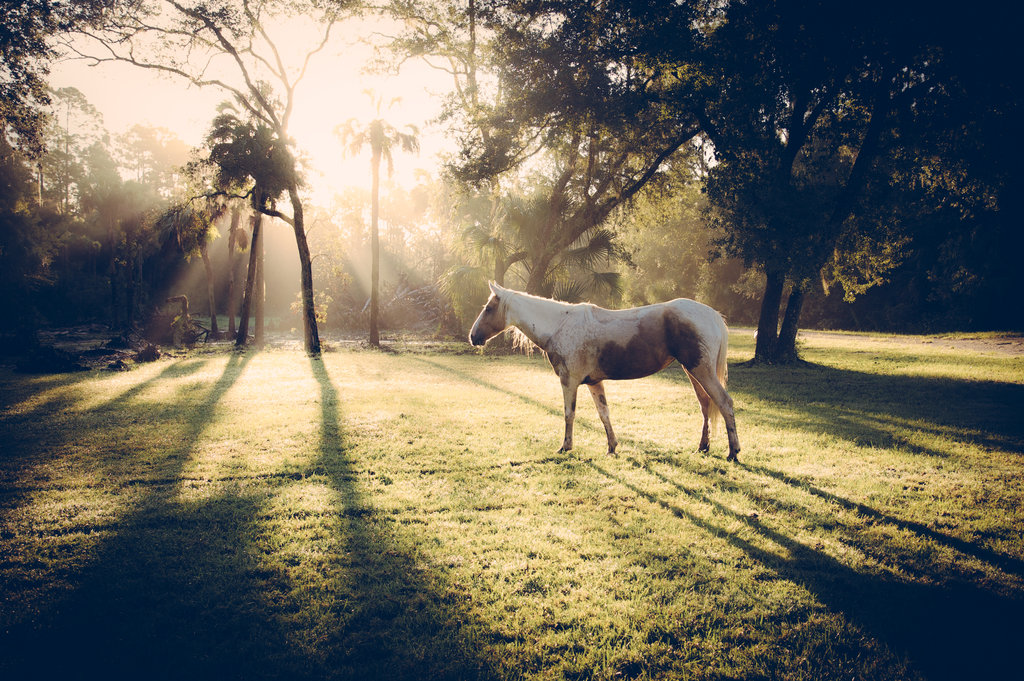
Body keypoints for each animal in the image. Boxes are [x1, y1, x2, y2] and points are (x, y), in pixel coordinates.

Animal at [469, 282, 741, 461]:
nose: (473, 336)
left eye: (489, 308)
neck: (559, 324)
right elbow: (604, 414)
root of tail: (711, 314)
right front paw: (612, 447)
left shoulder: (569, 381)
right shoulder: (593, 382)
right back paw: (703, 447)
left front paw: (566, 446)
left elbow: (569, 414)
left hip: (702, 371)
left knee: (724, 403)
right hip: (693, 372)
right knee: (705, 405)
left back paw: (733, 452)